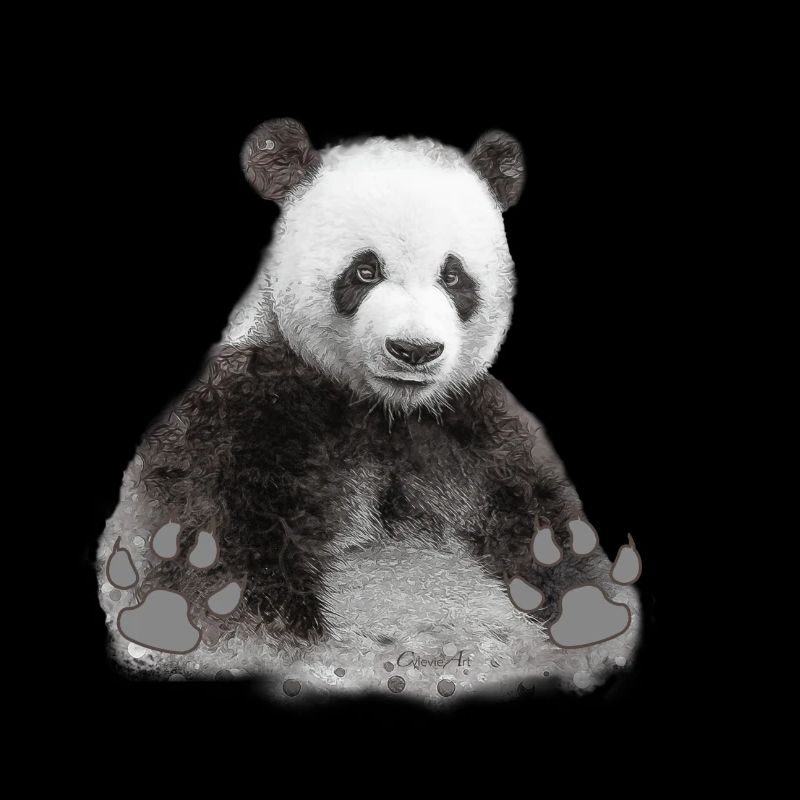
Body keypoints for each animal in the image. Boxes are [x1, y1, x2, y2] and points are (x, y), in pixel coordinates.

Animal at [97, 118, 641, 701]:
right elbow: (218, 571)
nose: (414, 350)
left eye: (453, 276)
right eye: (364, 271)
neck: (385, 410)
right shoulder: (246, 420)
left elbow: (556, 544)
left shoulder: (479, 436)